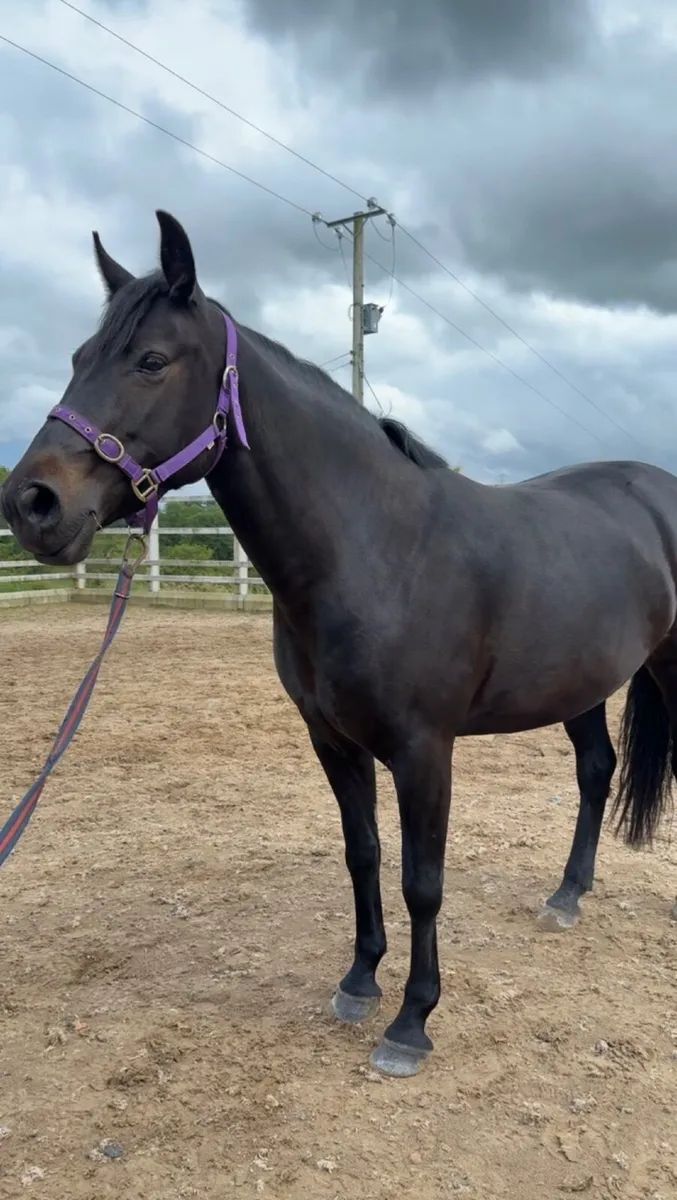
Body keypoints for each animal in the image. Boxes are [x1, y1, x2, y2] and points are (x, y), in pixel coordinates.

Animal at [2, 209, 675, 1078]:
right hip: (578, 685)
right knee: (595, 772)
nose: (31, 503)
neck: (375, 550)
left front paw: (411, 1022)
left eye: (150, 360)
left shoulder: (424, 750)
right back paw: (565, 897)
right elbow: (363, 855)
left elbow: (423, 880)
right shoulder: (331, 740)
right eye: (79, 358)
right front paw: (358, 982)